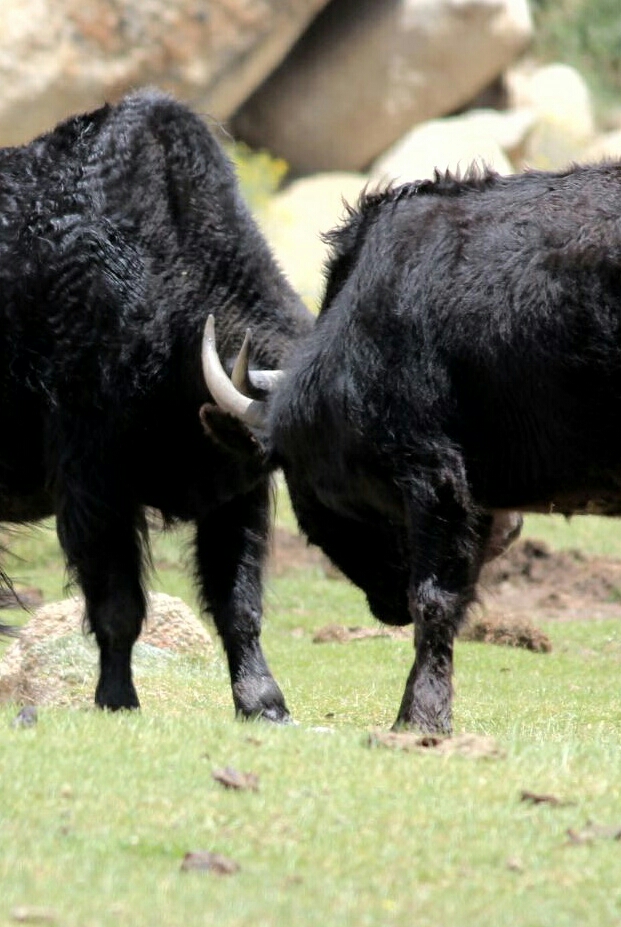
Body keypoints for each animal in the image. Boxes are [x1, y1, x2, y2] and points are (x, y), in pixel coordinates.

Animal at [0, 88, 312, 720]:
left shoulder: (237, 494)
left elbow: (239, 604)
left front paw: (265, 703)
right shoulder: (94, 485)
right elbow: (119, 605)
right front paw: (117, 700)